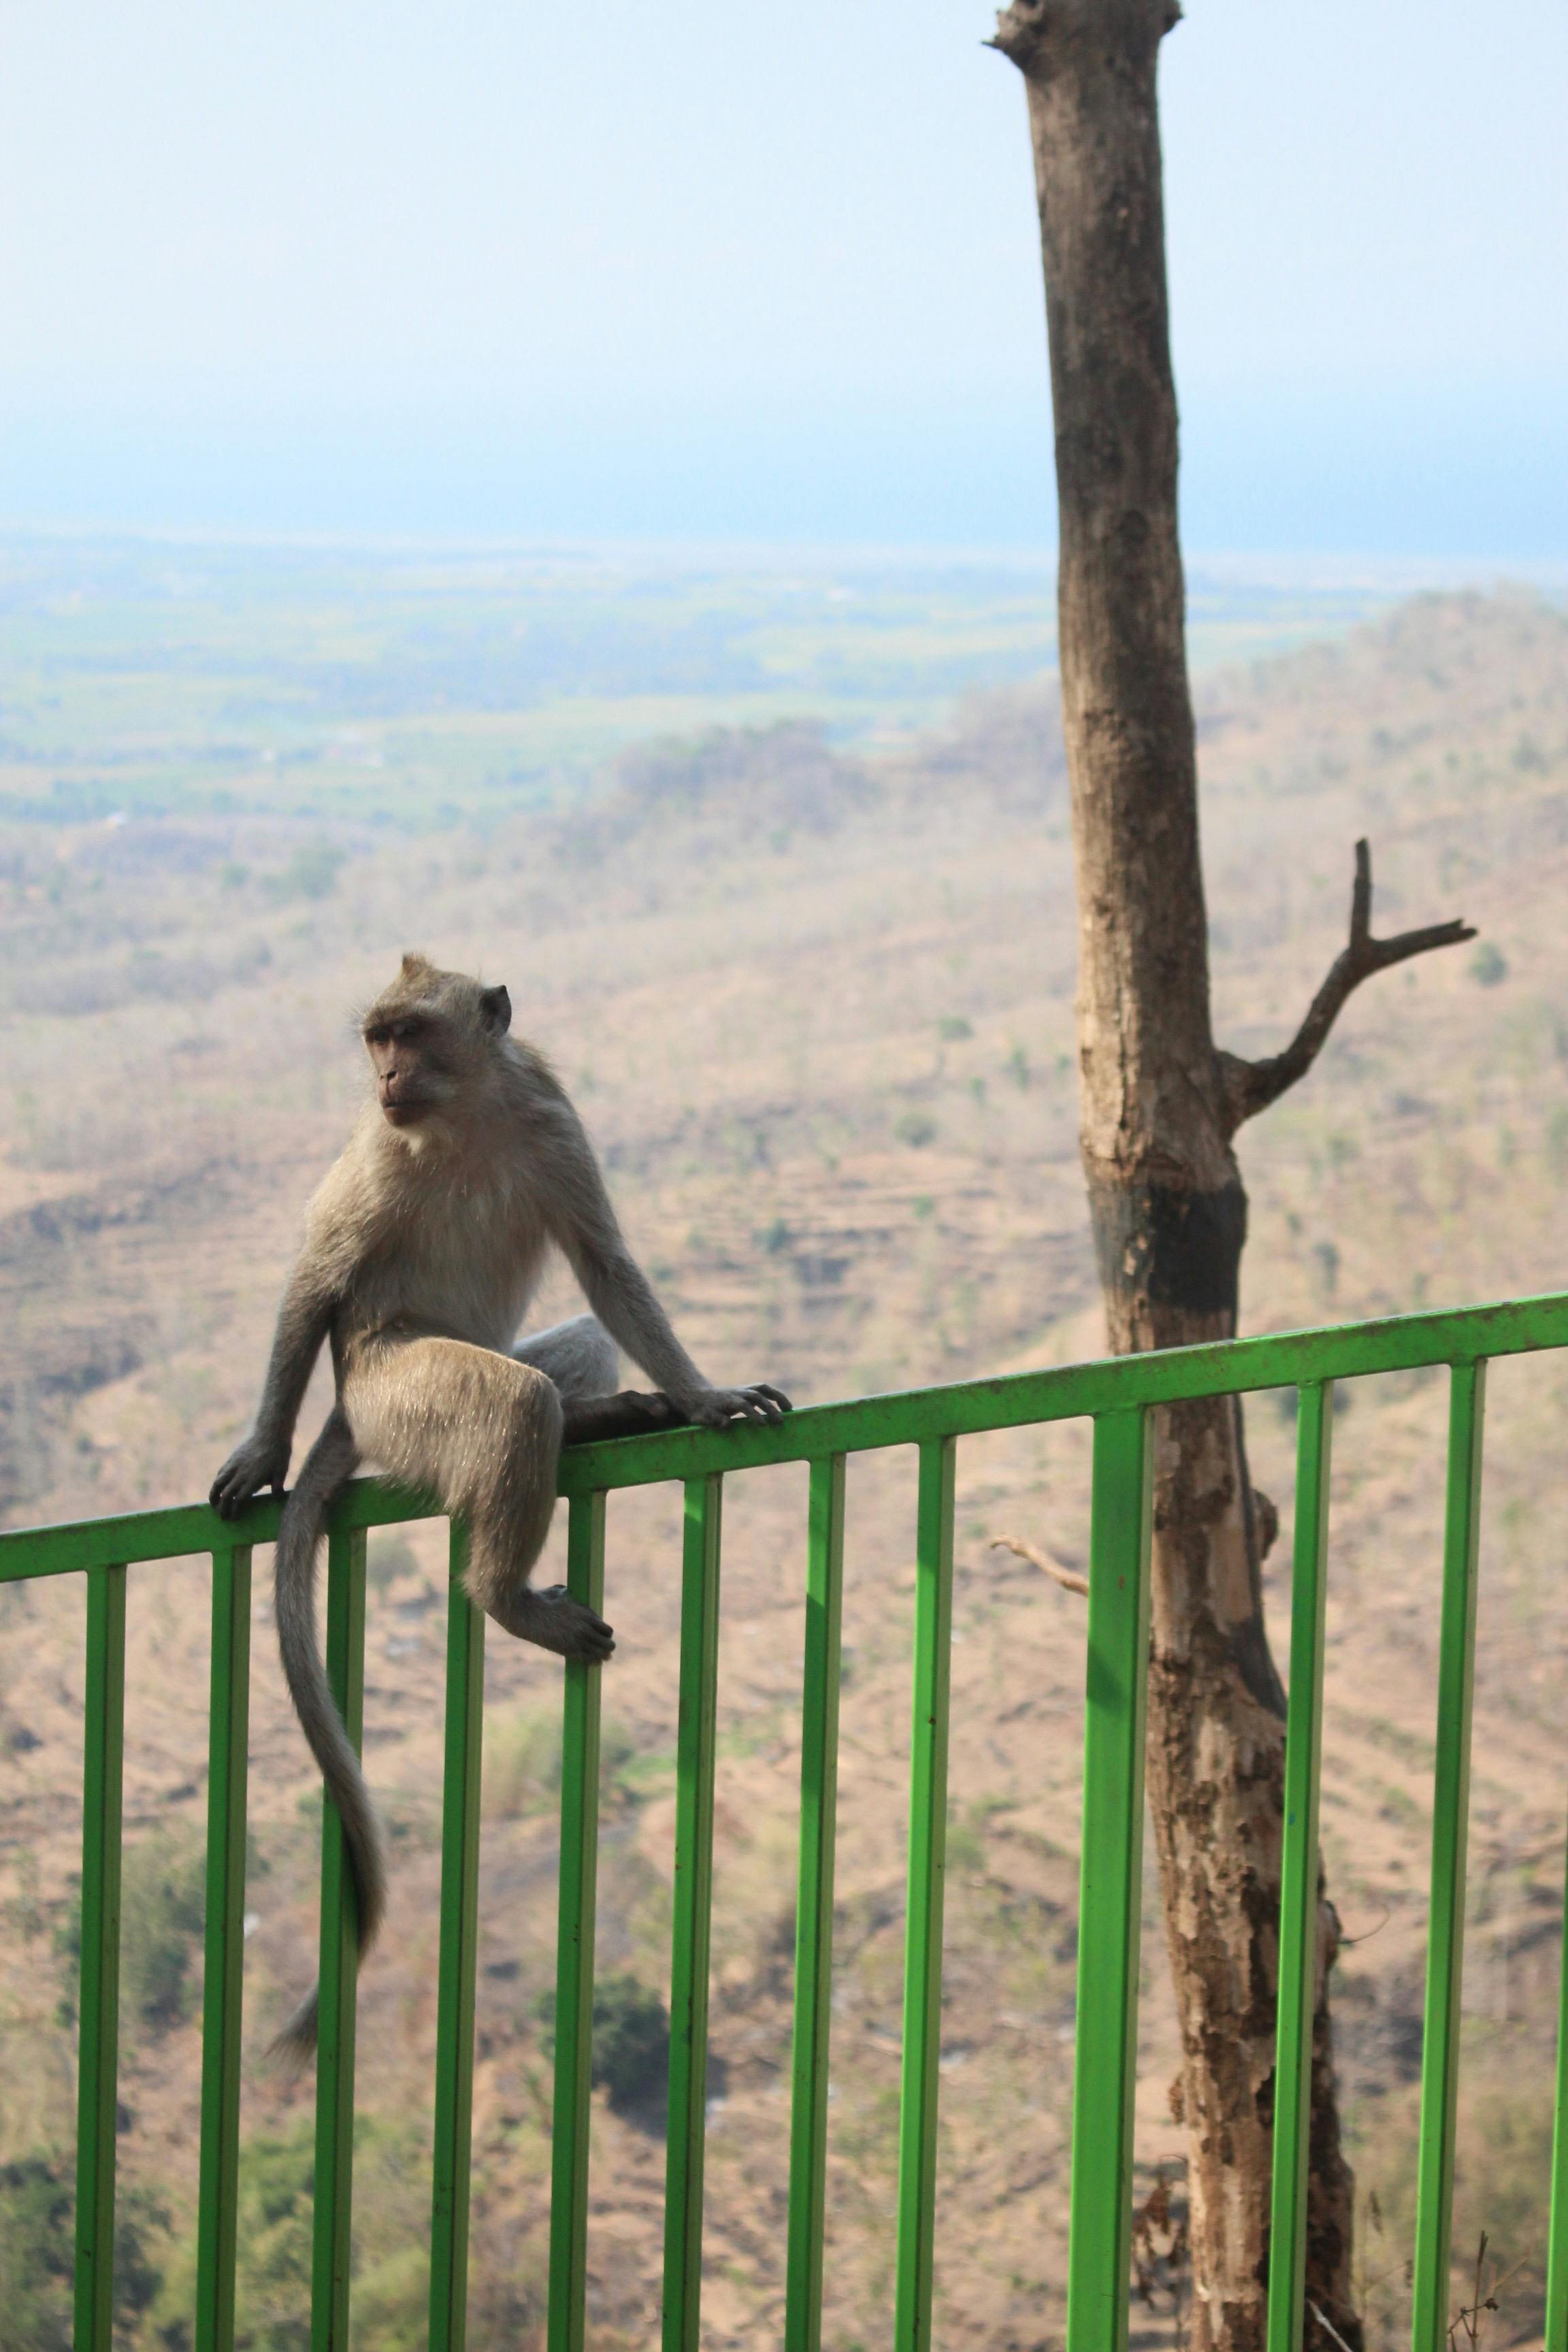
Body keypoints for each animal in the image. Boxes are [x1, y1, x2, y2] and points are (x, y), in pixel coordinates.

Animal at [210, 954, 789, 2060]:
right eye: (377, 1039)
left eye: (409, 1035)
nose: (386, 1077)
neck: (464, 1116)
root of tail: (349, 1416)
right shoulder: (376, 1151)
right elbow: (317, 1275)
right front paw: (261, 1448)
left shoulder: (552, 1123)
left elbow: (606, 1270)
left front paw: (700, 1395)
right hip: (402, 1400)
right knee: (514, 1402)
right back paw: (504, 1595)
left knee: (568, 1360)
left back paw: (607, 1413)